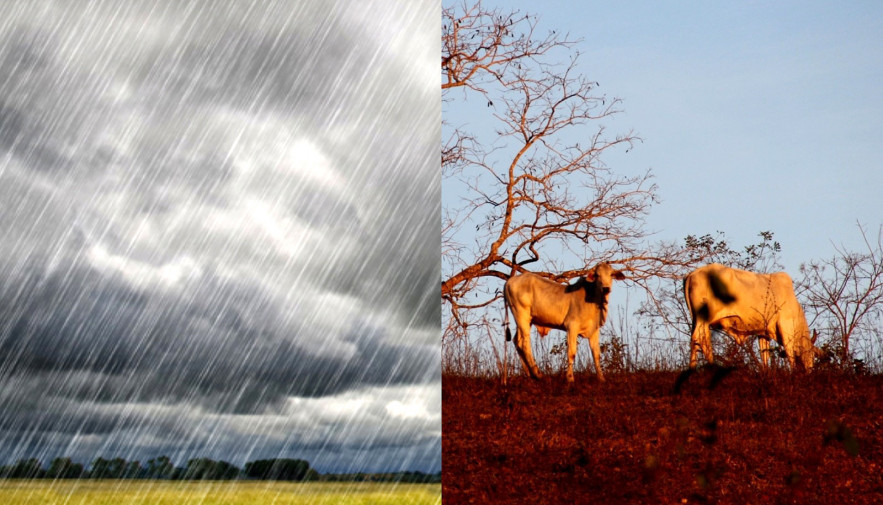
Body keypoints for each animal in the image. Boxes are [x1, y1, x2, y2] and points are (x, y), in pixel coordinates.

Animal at [688, 264, 820, 370]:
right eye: (811, 355)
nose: (809, 371)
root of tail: (691, 275)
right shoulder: (786, 328)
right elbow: (790, 354)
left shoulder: (763, 333)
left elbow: (765, 355)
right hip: (704, 319)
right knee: (700, 339)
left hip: (697, 320)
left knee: (697, 340)